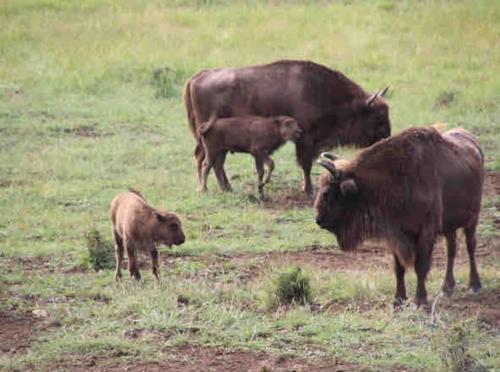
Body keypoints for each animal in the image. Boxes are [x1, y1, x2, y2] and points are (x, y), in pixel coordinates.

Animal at [184, 58, 390, 195]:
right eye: (378, 117)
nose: (386, 138)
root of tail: (196, 78)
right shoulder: (305, 139)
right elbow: (306, 164)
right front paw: (308, 189)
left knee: (209, 160)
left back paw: (225, 188)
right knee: (212, 162)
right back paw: (218, 188)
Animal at [314, 126, 482, 306]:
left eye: (327, 193)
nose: (318, 219)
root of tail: (473, 142)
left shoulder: (426, 232)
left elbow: (420, 266)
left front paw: (420, 300)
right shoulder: (395, 234)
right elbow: (399, 267)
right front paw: (398, 300)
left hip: (472, 219)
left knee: (470, 246)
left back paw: (475, 285)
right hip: (449, 227)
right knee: (451, 250)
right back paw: (447, 288)